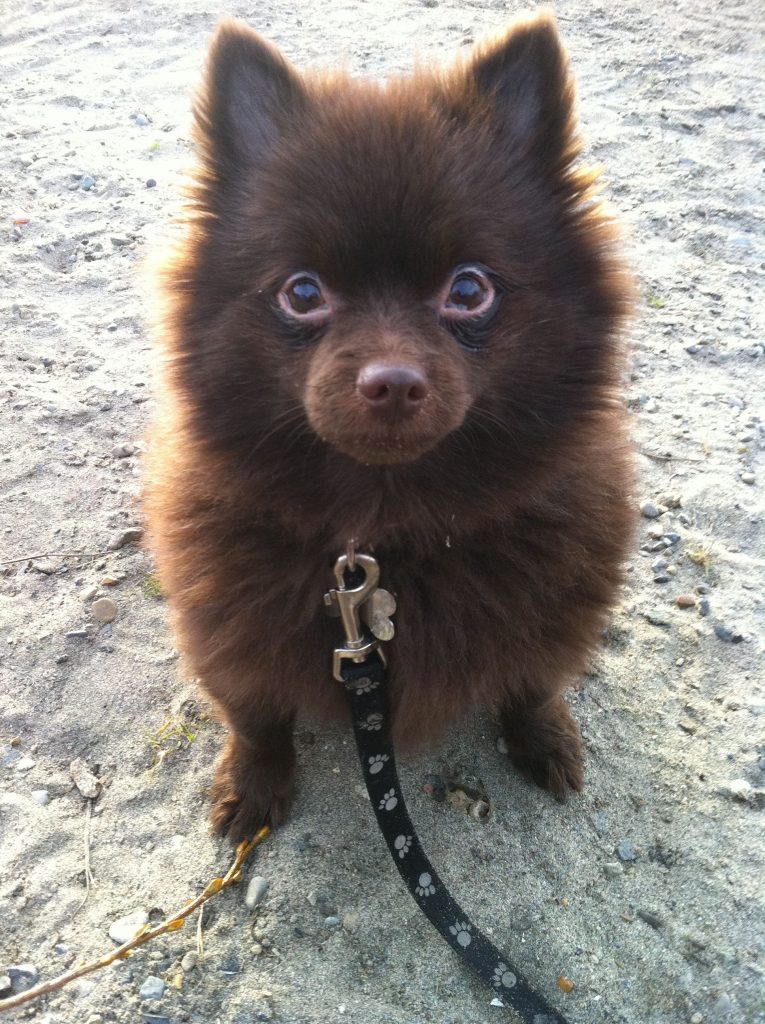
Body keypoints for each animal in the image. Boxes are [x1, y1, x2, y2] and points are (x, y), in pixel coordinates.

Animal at [145, 12, 634, 839]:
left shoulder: (551, 615)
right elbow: (254, 716)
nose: (392, 381)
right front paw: (253, 783)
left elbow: (533, 683)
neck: (388, 526)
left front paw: (543, 738)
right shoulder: (231, 638)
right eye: (302, 292)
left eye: (467, 290)